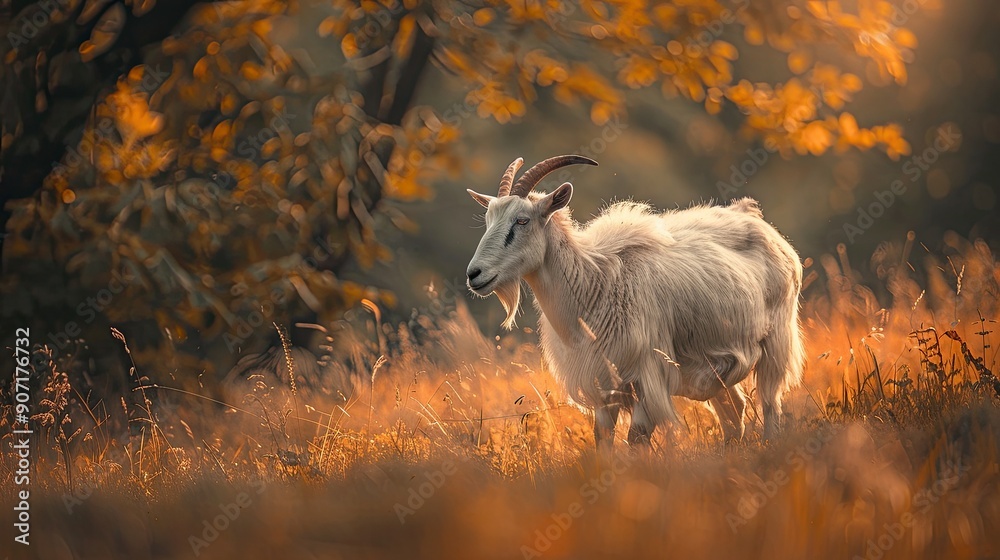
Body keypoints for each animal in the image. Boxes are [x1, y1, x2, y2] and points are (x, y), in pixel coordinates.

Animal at [465, 155, 804, 448]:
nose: (474, 274)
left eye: (522, 221)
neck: (594, 286)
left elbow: (637, 439)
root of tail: (754, 218)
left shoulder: (647, 376)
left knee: (770, 403)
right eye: (488, 219)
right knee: (734, 410)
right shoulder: (603, 385)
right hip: (718, 365)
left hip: (776, 343)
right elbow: (603, 439)